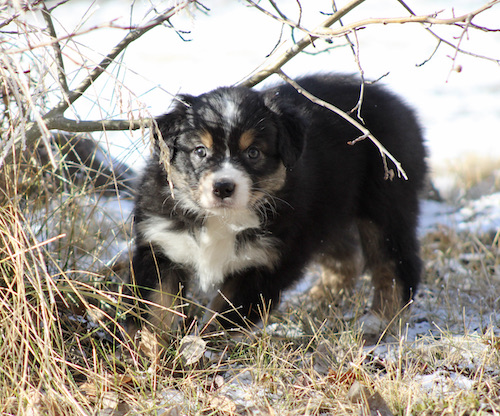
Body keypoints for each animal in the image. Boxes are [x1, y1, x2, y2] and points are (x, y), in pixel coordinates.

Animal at [128, 74, 427, 336]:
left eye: (253, 152)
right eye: (200, 151)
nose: (223, 187)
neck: (222, 220)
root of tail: (401, 106)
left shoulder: (269, 261)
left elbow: (225, 313)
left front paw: (204, 350)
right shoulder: (161, 245)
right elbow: (155, 309)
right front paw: (150, 353)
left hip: (385, 204)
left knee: (395, 263)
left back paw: (379, 321)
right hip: (326, 211)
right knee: (347, 257)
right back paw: (318, 299)